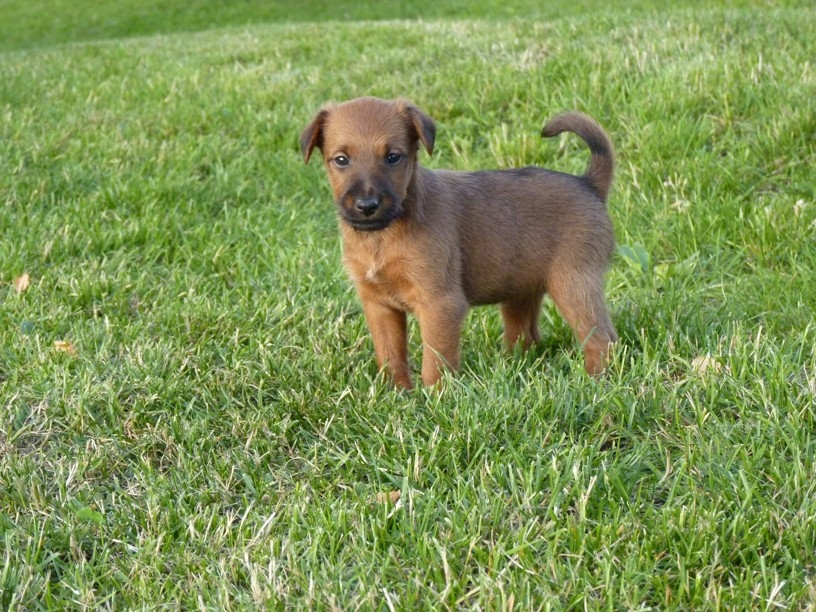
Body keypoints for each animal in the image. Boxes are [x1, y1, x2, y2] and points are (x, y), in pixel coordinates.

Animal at [300, 97, 618, 389]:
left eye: (393, 157)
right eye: (341, 160)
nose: (367, 206)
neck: (383, 235)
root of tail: (588, 184)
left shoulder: (439, 303)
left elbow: (435, 361)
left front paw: (434, 399)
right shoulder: (379, 305)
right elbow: (390, 355)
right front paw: (396, 394)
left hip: (573, 285)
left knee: (602, 339)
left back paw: (595, 382)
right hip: (522, 290)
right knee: (527, 335)